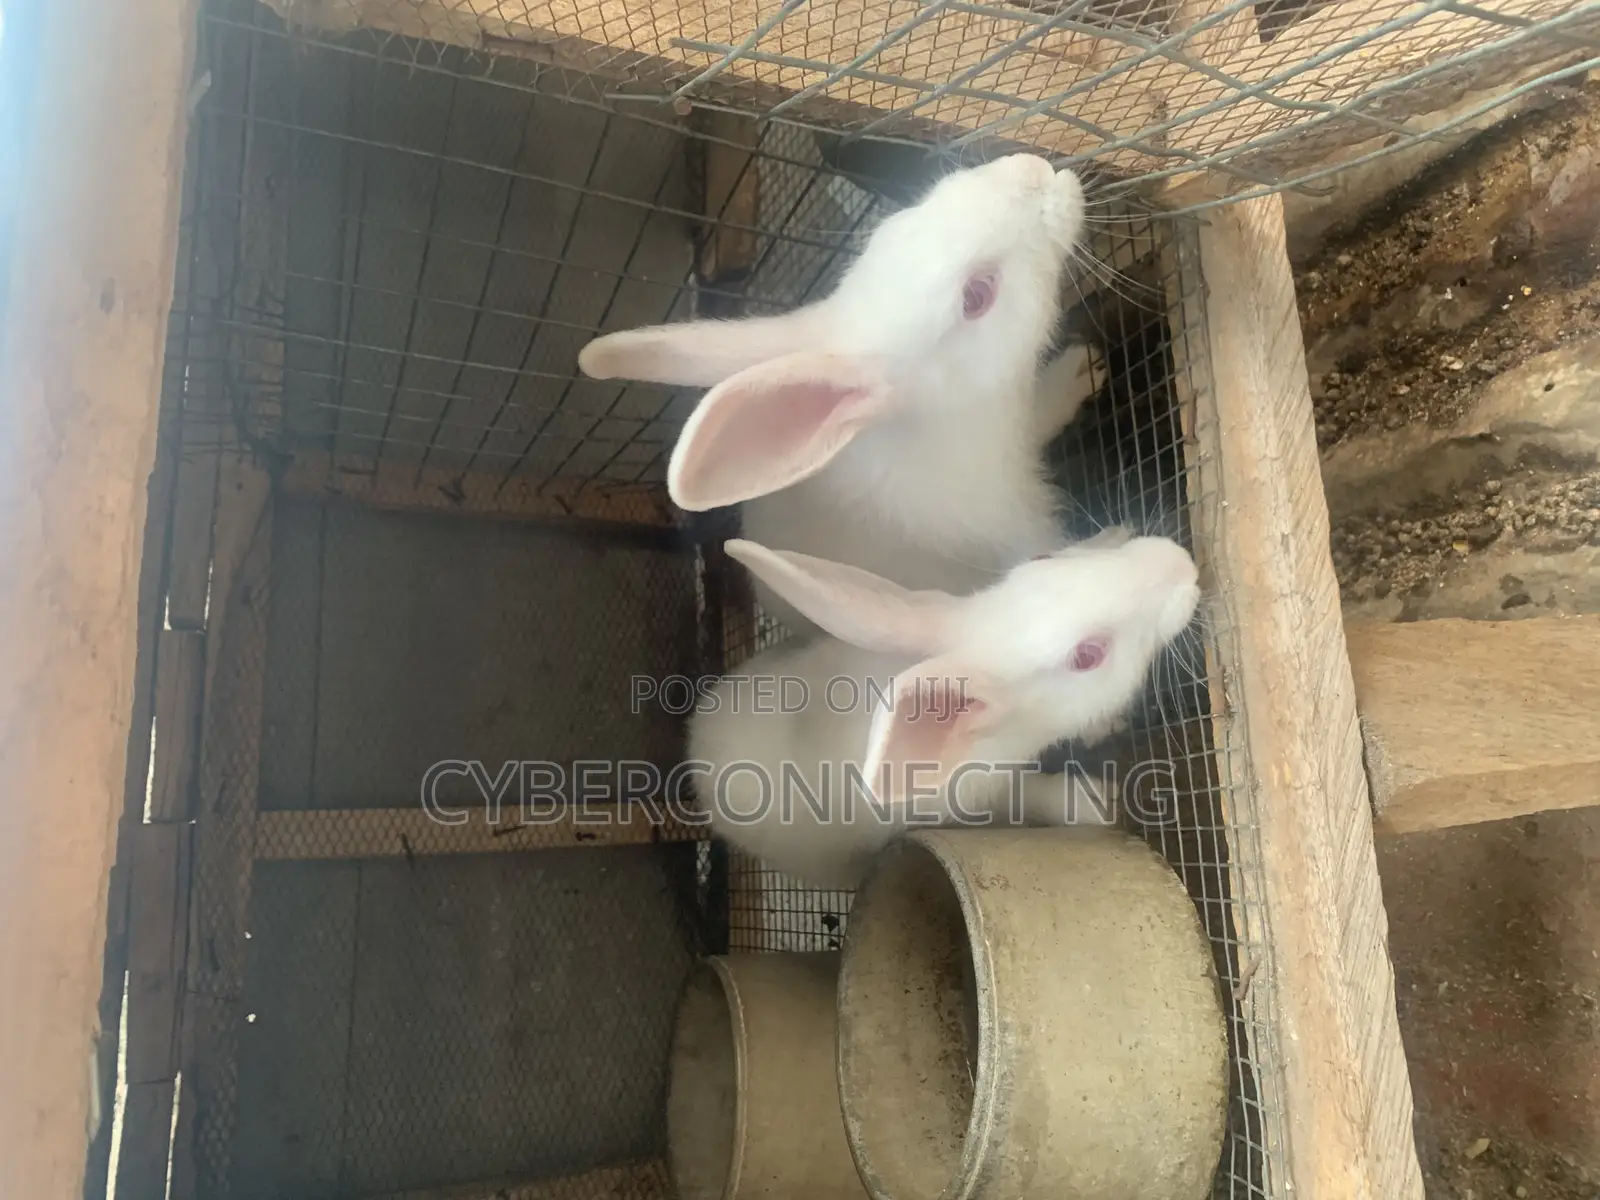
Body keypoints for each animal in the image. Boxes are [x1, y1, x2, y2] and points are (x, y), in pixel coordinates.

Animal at [682, 526, 1201, 890]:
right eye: (1088, 656)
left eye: (1043, 559)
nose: (1181, 562)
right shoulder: (978, 795)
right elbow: (1030, 795)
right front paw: (1097, 803)